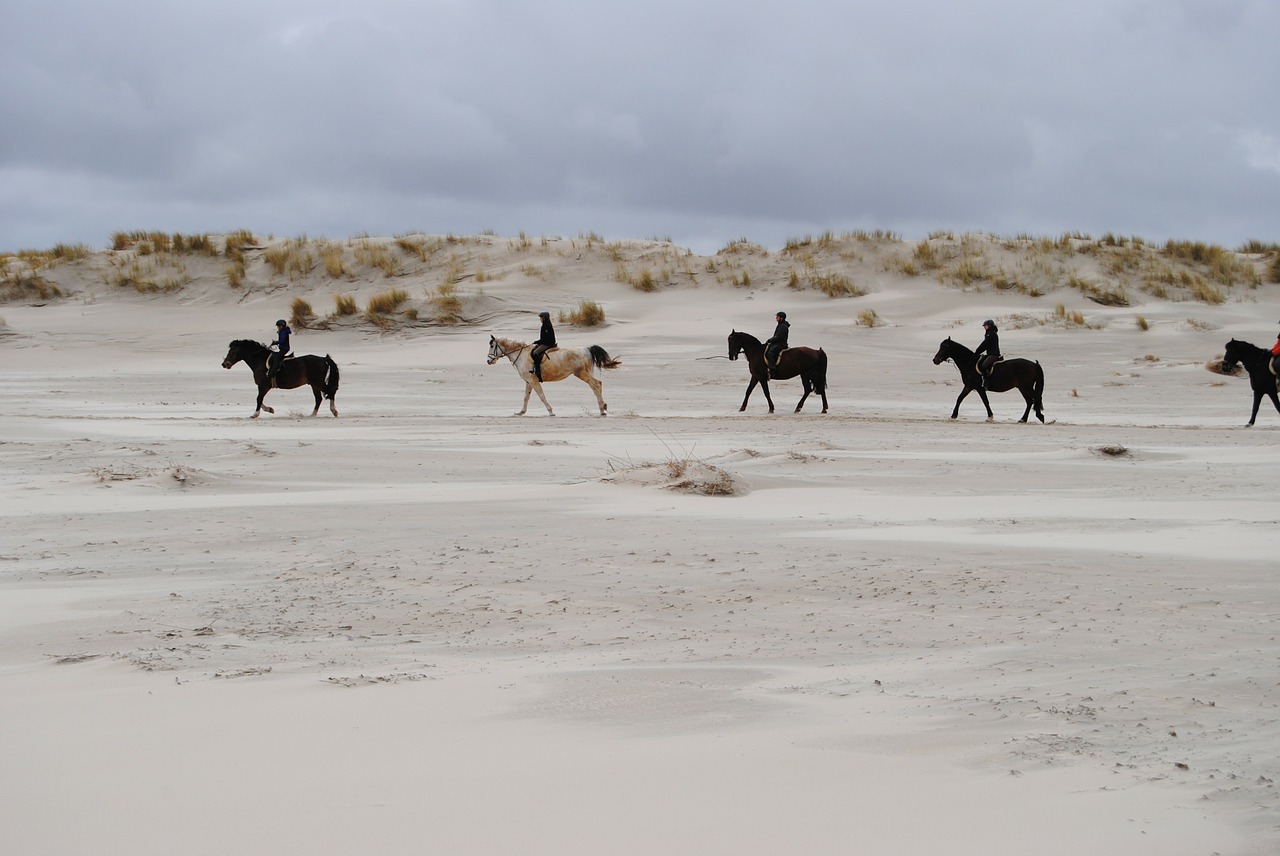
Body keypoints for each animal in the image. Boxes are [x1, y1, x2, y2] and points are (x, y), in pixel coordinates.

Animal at [483, 332, 619, 414]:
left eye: (492, 346)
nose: (489, 361)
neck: (521, 355)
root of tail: (587, 349)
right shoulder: (529, 381)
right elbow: (526, 397)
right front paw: (521, 412)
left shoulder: (533, 381)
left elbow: (541, 396)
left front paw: (550, 411)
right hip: (587, 373)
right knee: (597, 385)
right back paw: (603, 407)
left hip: (581, 374)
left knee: (596, 385)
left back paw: (601, 409)